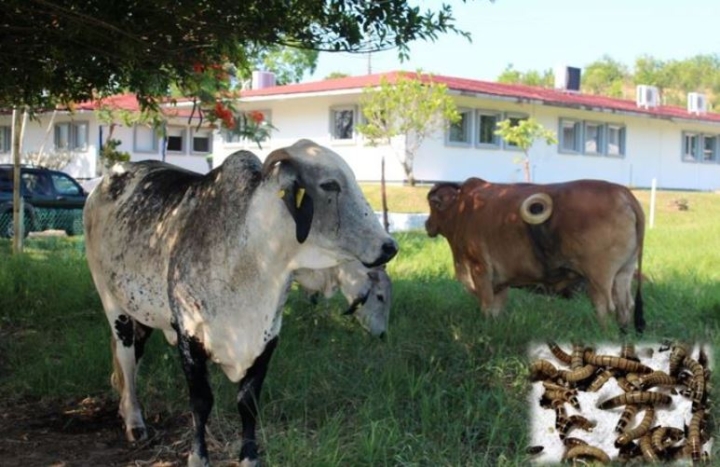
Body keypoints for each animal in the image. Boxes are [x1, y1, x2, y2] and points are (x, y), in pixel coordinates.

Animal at [428, 177, 648, 334]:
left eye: (433, 206)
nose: (428, 224)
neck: (462, 209)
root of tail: (623, 193)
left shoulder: (480, 270)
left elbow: (487, 307)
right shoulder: (500, 282)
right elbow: (497, 309)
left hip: (599, 278)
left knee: (605, 308)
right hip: (624, 272)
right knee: (625, 307)